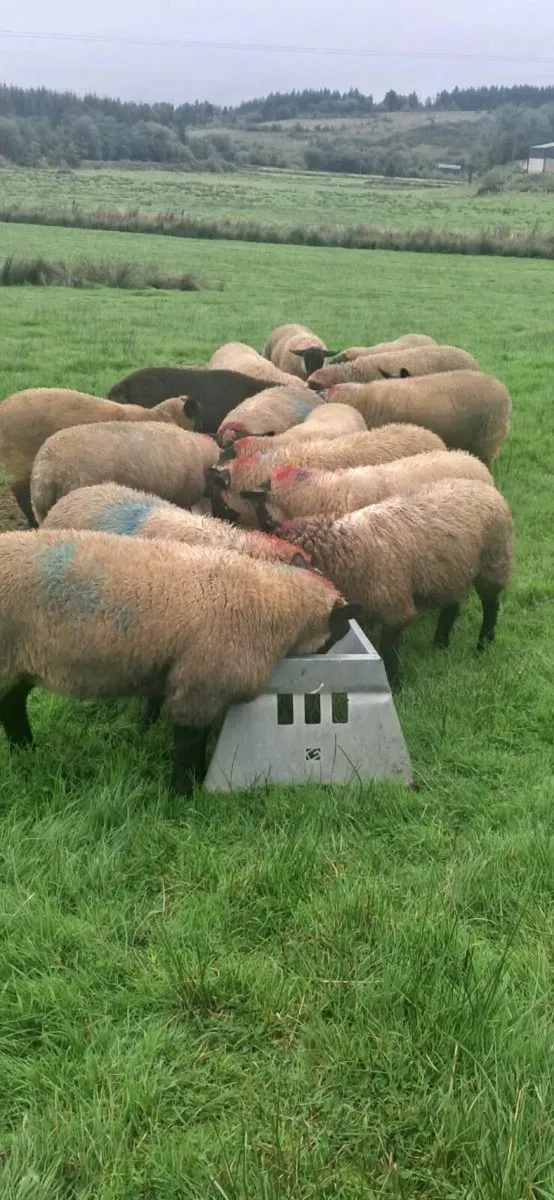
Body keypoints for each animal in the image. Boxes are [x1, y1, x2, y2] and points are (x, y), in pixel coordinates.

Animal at [0, 530, 357, 792]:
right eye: (339, 631)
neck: (271, 602)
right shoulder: (199, 686)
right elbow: (188, 746)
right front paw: (183, 795)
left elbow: (196, 739)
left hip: (20, 664)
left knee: (13, 704)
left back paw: (26, 749)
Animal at [275, 477, 513, 691]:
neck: (350, 546)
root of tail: (486, 487)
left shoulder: (395, 607)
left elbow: (389, 649)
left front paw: (395, 684)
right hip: (451, 572)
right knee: (451, 605)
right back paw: (441, 643)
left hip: (494, 563)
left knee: (491, 606)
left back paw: (484, 644)